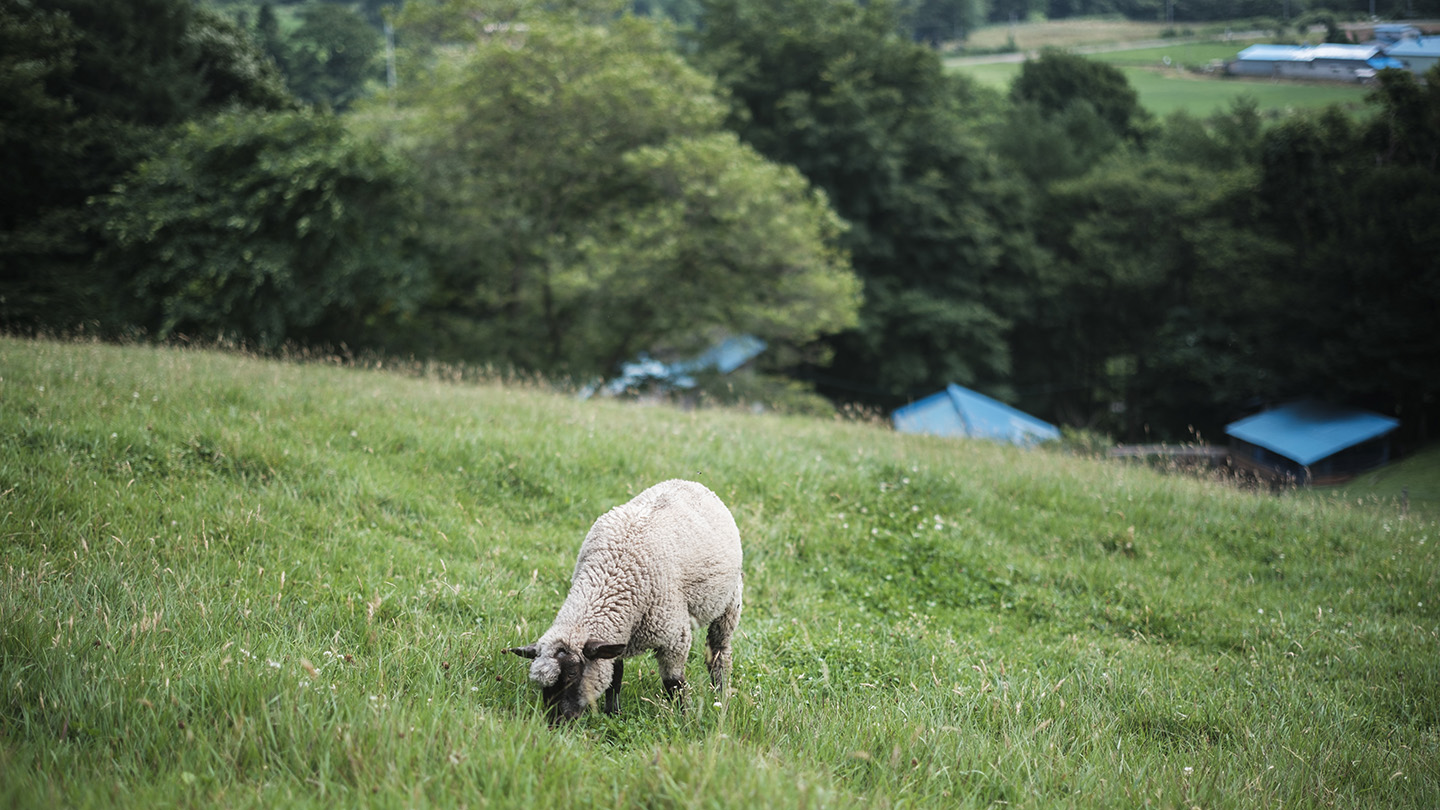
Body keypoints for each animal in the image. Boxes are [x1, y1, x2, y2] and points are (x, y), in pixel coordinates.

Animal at [504, 478, 743, 717]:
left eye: (572, 673)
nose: (555, 720)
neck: (610, 577)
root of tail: (687, 481)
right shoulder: (617, 633)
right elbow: (615, 675)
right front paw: (613, 712)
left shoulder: (674, 638)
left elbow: (674, 683)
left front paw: (683, 716)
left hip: (730, 603)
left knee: (719, 652)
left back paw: (720, 694)